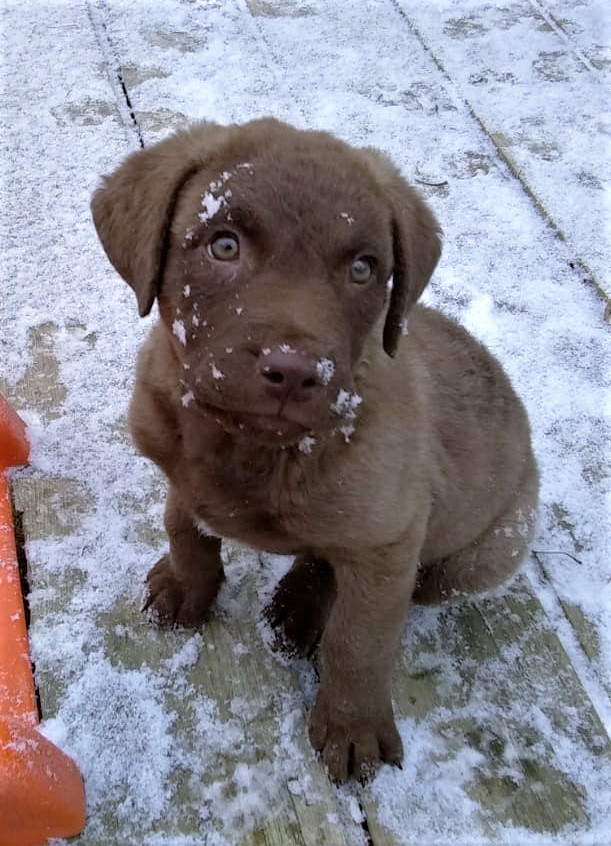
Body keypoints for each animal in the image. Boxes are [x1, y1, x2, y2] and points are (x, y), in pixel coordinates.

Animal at [92, 117, 540, 780]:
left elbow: (359, 641)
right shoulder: (177, 468)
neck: (252, 445)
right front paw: (186, 585)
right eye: (224, 246)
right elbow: (184, 524)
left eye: (362, 269)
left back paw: (302, 607)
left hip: (482, 554)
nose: (297, 371)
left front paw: (352, 727)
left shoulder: (390, 538)